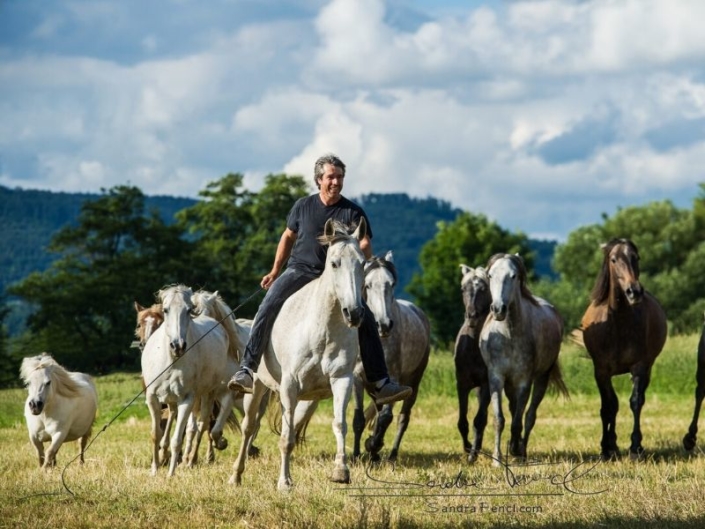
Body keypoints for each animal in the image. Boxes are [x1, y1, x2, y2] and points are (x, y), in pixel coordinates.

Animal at [231, 217, 368, 488]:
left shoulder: (342, 380)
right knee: (248, 426)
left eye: (362, 263)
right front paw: (284, 482)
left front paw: (341, 471)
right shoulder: (290, 385)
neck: (322, 330)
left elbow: (339, 424)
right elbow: (285, 439)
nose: (354, 313)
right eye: (334, 263)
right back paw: (236, 475)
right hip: (257, 387)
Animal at [350, 250, 428, 460]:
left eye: (391, 284)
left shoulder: (393, 377)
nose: (384, 325)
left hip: (414, 381)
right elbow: (359, 419)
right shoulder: (357, 377)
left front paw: (372, 445)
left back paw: (391, 454)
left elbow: (386, 417)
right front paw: (357, 454)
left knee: (403, 418)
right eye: (367, 284)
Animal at [580, 237, 664, 460]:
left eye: (636, 257)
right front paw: (605, 448)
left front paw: (635, 447)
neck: (618, 324)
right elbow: (607, 407)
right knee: (613, 404)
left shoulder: (639, 367)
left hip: (648, 369)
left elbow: (635, 402)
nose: (634, 291)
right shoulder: (601, 371)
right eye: (613, 259)